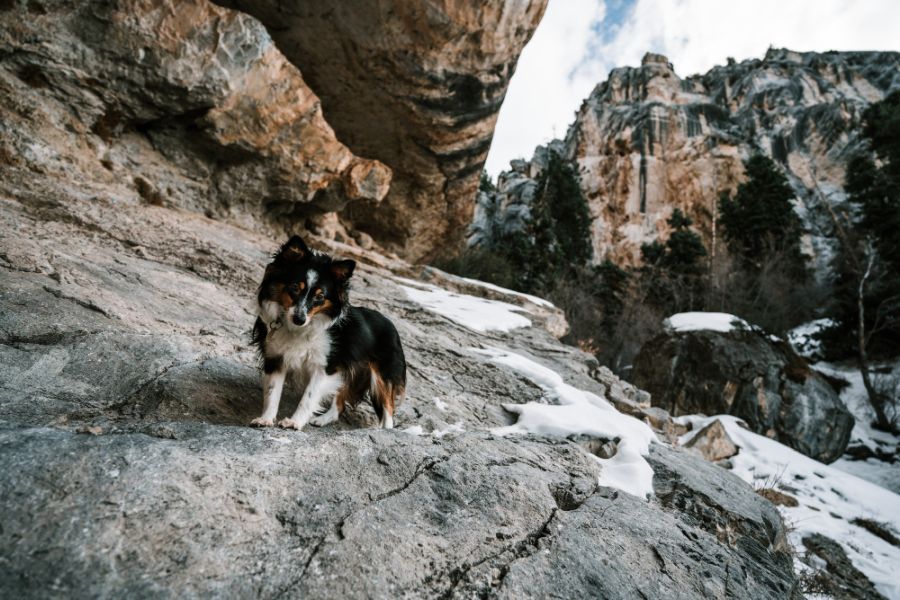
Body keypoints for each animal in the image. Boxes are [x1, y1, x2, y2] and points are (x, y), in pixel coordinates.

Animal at [253, 236, 408, 432]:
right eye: (294, 287)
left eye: (320, 297)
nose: (299, 319)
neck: (299, 328)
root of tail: (391, 324)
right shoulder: (276, 358)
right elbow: (272, 392)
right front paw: (265, 419)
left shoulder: (324, 366)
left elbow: (308, 397)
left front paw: (294, 422)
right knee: (339, 404)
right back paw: (323, 419)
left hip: (381, 376)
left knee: (388, 408)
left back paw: (385, 431)